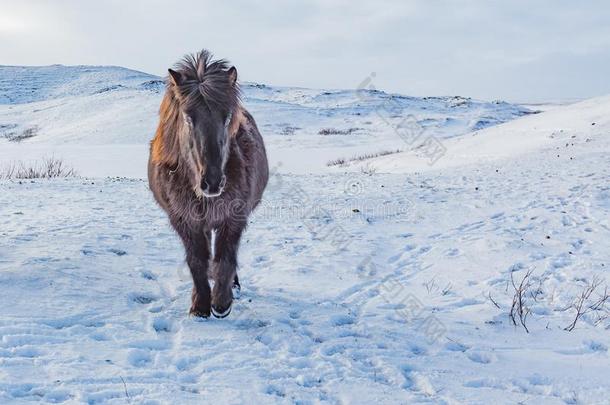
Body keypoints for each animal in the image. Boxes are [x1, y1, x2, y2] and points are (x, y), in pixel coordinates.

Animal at [146, 49, 268, 318]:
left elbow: (225, 258)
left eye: (227, 117)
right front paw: (200, 304)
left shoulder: (233, 217)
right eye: (188, 118)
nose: (211, 182)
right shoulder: (184, 220)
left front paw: (222, 302)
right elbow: (197, 260)